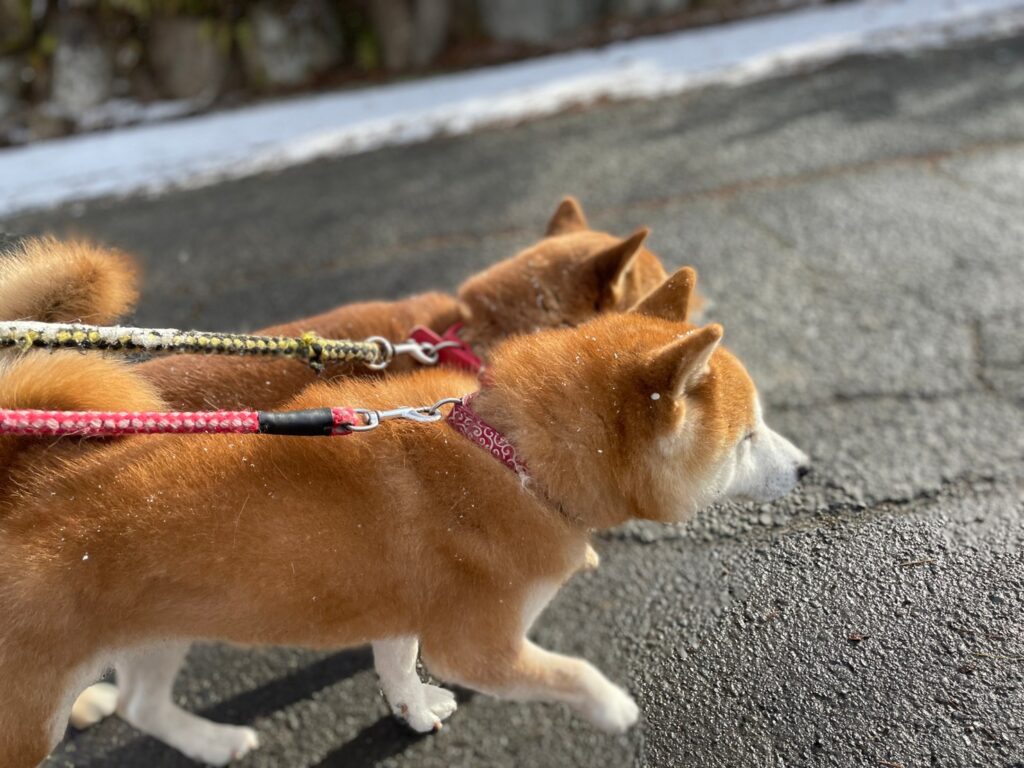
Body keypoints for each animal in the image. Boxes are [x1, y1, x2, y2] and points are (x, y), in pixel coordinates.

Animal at [0, 268, 807, 766]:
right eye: (747, 438)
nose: (807, 469)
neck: (511, 455)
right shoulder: (477, 643)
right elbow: (566, 671)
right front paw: (612, 709)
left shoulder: (401, 604)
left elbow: (396, 666)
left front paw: (413, 711)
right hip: (30, 715)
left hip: (161, 626)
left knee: (143, 705)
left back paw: (213, 743)